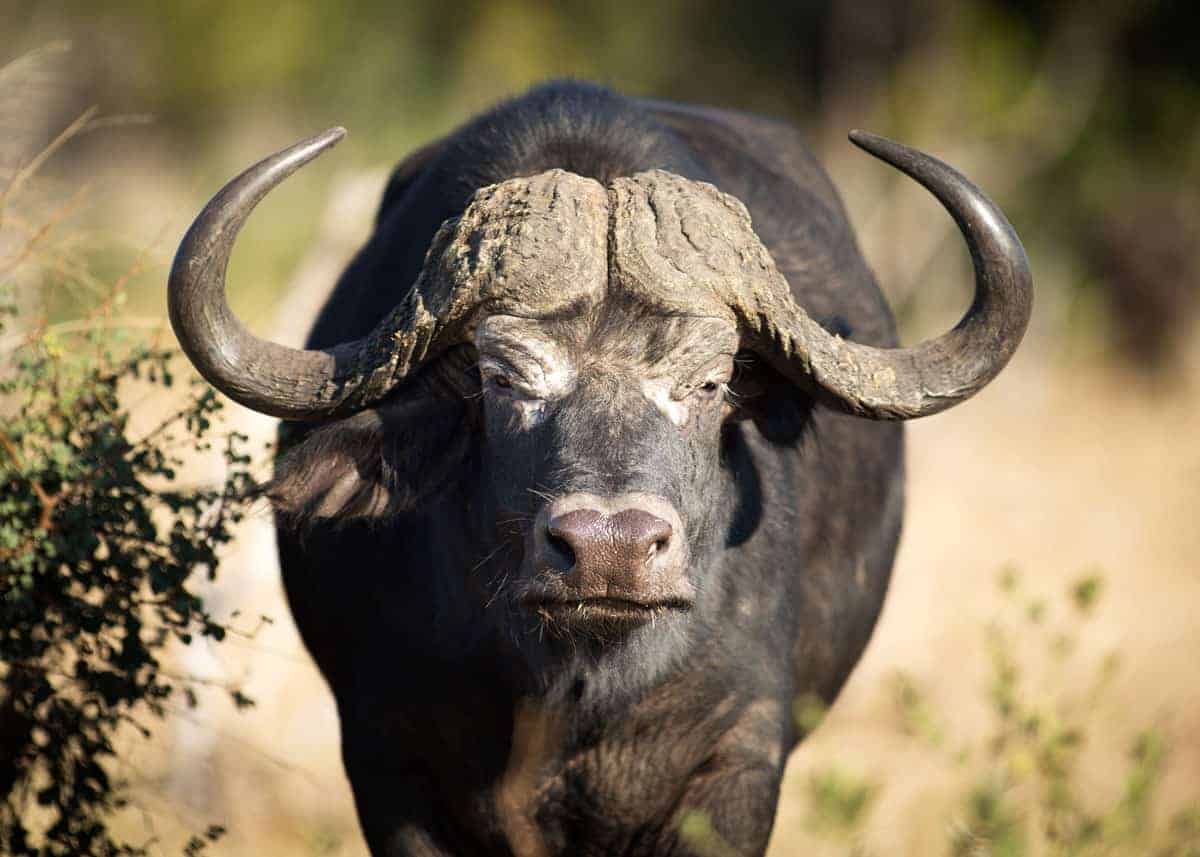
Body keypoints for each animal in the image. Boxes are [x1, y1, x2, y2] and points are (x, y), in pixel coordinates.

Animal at [168, 81, 1030, 856]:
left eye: (709, 383)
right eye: (502, 379)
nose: (608, 549)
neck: (575, 679)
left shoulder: (739, 762)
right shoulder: (388, 763)